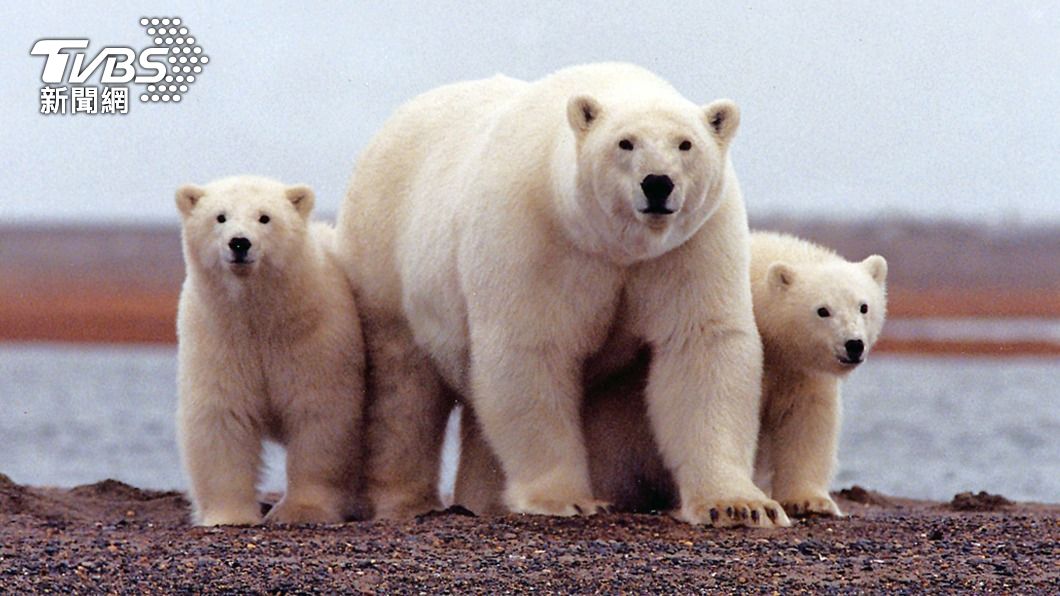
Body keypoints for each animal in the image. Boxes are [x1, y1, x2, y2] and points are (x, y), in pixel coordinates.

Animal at [175, 175, 365, 526]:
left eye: (265, 217)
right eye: (220, 216)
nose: (239, 243)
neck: (260, 317)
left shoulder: (314, 340)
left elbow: (319, 416)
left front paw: (302, 511)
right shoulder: (218, 339)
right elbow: (223, 417)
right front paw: (230, 515)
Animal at [335, 62, 788, 527]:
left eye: (686, 144)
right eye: (625, 142)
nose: (658, 184)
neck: (613, 246)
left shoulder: (690, 245)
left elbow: (701, 345)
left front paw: (739, 505)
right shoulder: (537, 235)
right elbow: (532, 350)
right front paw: (566, 498)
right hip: (386, 257)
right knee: (403, 390)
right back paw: (406, 501)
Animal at [454, 231, 888, 519]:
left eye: (863, 306)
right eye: (822, 310)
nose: (853, 345)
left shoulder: (798, 370)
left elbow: (807, 421)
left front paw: (810, 501)